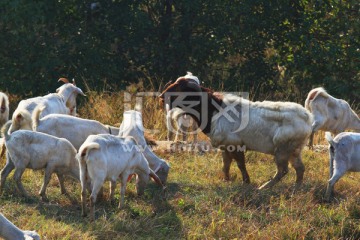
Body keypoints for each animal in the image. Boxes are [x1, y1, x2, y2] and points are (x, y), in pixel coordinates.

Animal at [160, 79, 312, 189]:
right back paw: (296, 187)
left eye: (181, 88)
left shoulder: (235, 144)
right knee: (299, 168)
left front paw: (246, 182)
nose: (162, 96)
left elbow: (240, 164)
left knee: (283, 170)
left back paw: (264, 187)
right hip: (294, 150)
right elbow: (226, 164)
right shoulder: (225, 146)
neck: (214, 110)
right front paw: (226, 180)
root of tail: (307, 117)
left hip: (282, 149)